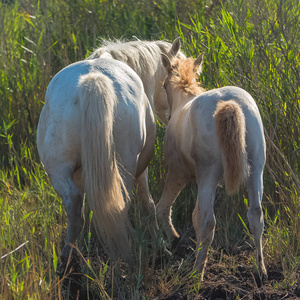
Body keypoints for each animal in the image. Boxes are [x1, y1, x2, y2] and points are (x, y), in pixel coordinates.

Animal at [36, 38, 184, 272]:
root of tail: (93, 81)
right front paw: (161, 246)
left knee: (74, 205)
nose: (173, 116)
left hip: (57, 170)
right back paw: (126, 257)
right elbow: (148, 204)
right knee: (119, 207)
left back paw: (69, 259)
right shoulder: (141, 169)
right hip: (125, 166)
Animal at [157, 48, 268, 280]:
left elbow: (164, 208)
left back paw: (196, 275)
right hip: (256, 171)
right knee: (256, 214)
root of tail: (230, 104)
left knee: (208, 221)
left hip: (207, 174)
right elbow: (194, 215)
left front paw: (175, 240)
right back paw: (261, 270)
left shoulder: (178, 173)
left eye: (163, 85)